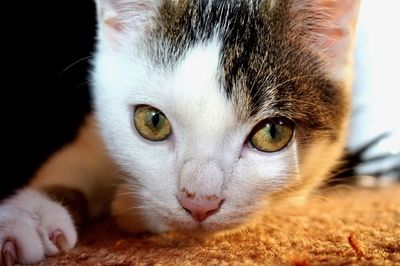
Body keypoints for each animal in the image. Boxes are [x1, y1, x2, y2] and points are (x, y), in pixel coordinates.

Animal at [0, 0, 360, 264]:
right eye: (153, 122)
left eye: (272, 134)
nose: (199, 203)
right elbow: (78, 162)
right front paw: (26, 217)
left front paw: (134, 207)